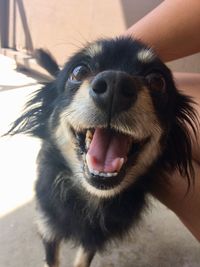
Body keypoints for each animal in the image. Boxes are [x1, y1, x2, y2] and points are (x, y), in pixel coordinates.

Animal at [7, 36, 197, 266]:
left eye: (157, 81)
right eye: (79, 71)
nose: (116, 83)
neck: (91, 199)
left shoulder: (93, 239)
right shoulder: (49, 230)